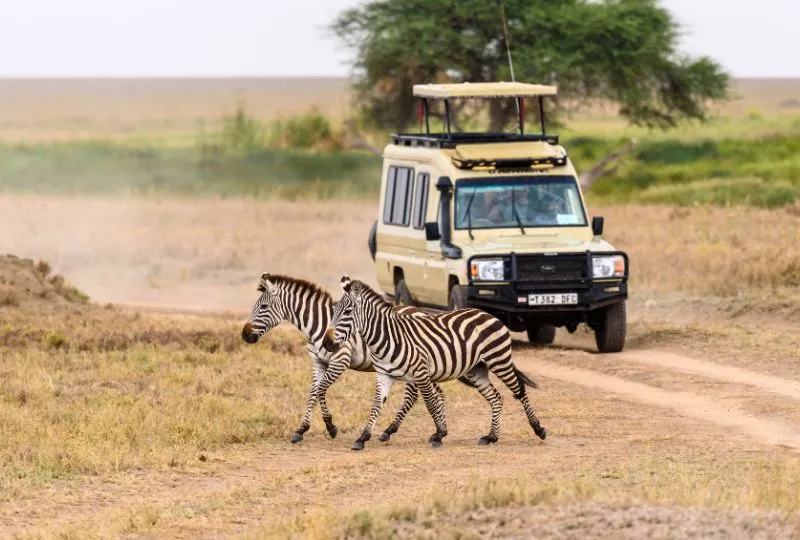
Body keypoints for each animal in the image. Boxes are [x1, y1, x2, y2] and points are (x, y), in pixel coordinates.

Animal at [240, 273, 424, 444]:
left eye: (263, 306)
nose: (244, 335)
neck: (317, 325)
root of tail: (418, 310)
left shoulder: (340, 360)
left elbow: (321, 389)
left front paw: (330, 426)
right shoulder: (319, 362)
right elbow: (313, 392)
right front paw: (301, 429)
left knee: (411, 395)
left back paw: (389, 430)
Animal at [322, 276, 547, 450]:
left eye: (347, 313)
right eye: (333, 311)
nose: (327, 343)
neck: (386, 337)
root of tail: (485, 313)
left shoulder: (420, 373)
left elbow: (430, 403)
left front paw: (439, 435)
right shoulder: (384, 375)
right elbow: (377, 403)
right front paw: (362, 437)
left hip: (499, 360)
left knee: (519, 390)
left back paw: (538, 429)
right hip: (477, 370)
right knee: (496, 397)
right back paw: (491, 437)